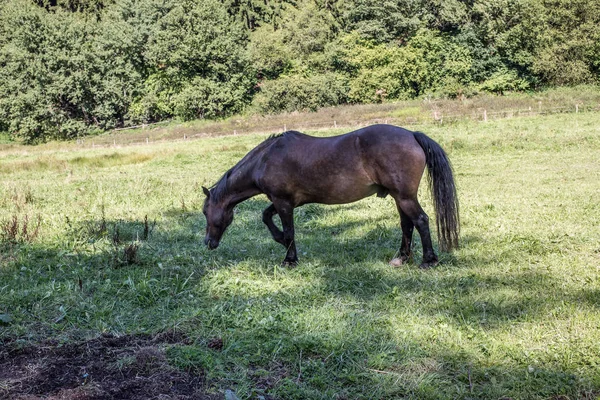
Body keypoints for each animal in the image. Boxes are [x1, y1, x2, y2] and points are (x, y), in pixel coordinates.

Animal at [202, 124, 460, 268]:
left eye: (205, 212)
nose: (208, 243)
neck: (265, 159)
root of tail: (412, 135)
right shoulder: (284, 201)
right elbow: (266, 217)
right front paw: (281, 241)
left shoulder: (283, 202)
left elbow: (288, 230)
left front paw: (289, 259)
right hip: (400, 198)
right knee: (407, 224)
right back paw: (402, 258)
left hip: (405, 197)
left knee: (421, 221)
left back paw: (428, 261)